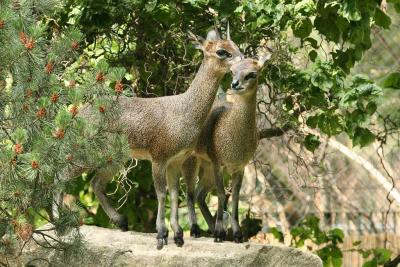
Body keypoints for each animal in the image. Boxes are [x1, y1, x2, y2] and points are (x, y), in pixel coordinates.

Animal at [57, 28, 244, 250]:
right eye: (222, 51)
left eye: (237, 46)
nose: (243, 61)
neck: (184, 112)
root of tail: (79, 113)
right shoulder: (159, 156)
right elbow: (161, 194)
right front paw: (161, 235)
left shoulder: (177, 160)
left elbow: (174, 194)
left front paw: (178, 235)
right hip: (88, 154)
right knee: (61, 175)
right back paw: (58, 222)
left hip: (115, 159)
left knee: (95, 183)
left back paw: (121, 222)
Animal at [182, 54, 270, 243]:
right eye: (232, 71)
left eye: (252, 73)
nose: (235, 84)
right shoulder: (218, 162)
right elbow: (222, 195)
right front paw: (221, 232)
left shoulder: (240, 167)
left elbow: (235, 198)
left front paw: (237, 234)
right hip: (192, 161)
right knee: (190, 193)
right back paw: (196, 230)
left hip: (206, 167)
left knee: (200, 194)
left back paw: (211, 228)